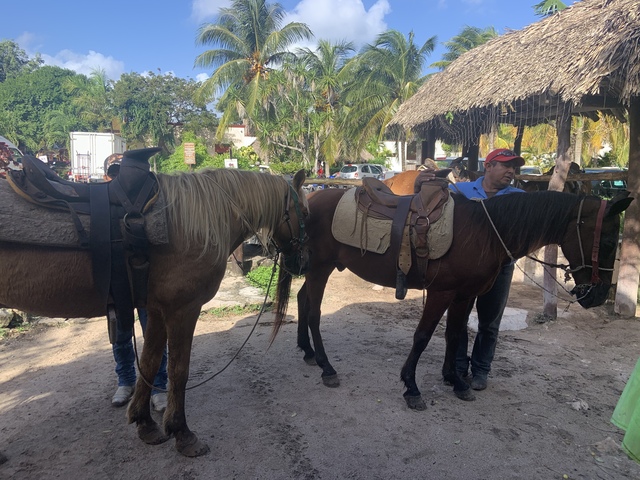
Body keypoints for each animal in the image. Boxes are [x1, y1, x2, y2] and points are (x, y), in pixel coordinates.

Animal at [0, 167, 310, 456]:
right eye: (305, 213)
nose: (302, 264)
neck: (196, 222)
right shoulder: (183, 310)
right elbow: (178, 370)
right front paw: (182, 432)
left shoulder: (158, 311)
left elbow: (150, 363)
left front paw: (145, 424)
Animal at [286, 187, 636, 408]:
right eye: (607, 241)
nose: (598, 296)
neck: (485, 233)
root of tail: (309, 199)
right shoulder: (442, 292)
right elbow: (423, 336)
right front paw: (412, 387)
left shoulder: (464, 294)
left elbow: (454, 335)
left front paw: (456, 381)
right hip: (320, 268)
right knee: (314, 312)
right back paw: (327, 367)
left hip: (318, 269)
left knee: (302, 299)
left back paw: (307, 351)